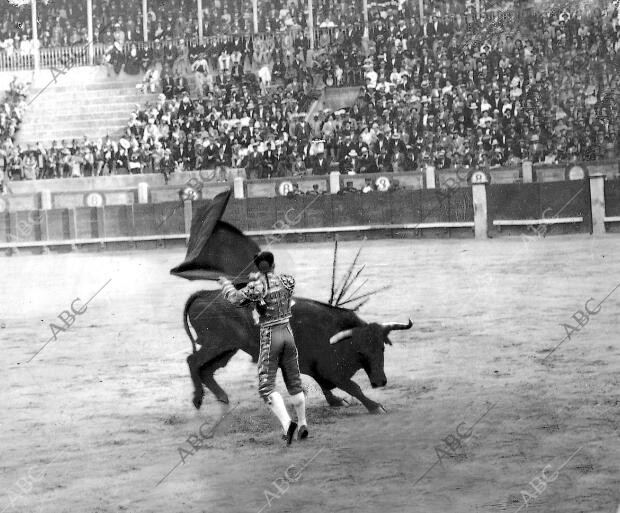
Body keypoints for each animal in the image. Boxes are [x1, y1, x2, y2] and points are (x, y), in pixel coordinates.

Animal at [182, 290, 412, 414]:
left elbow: (325, 385)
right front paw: (375, 407)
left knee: (207, 370)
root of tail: (206, 293)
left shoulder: (315, 366)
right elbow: (353, 387)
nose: (380, 381)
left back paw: (221, 397)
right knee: (193, 361)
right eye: (361, 352)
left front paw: (336, 401)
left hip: (227, 349)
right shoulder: (329, 370)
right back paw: (197, 399)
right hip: (216, 343)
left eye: (381, 347)